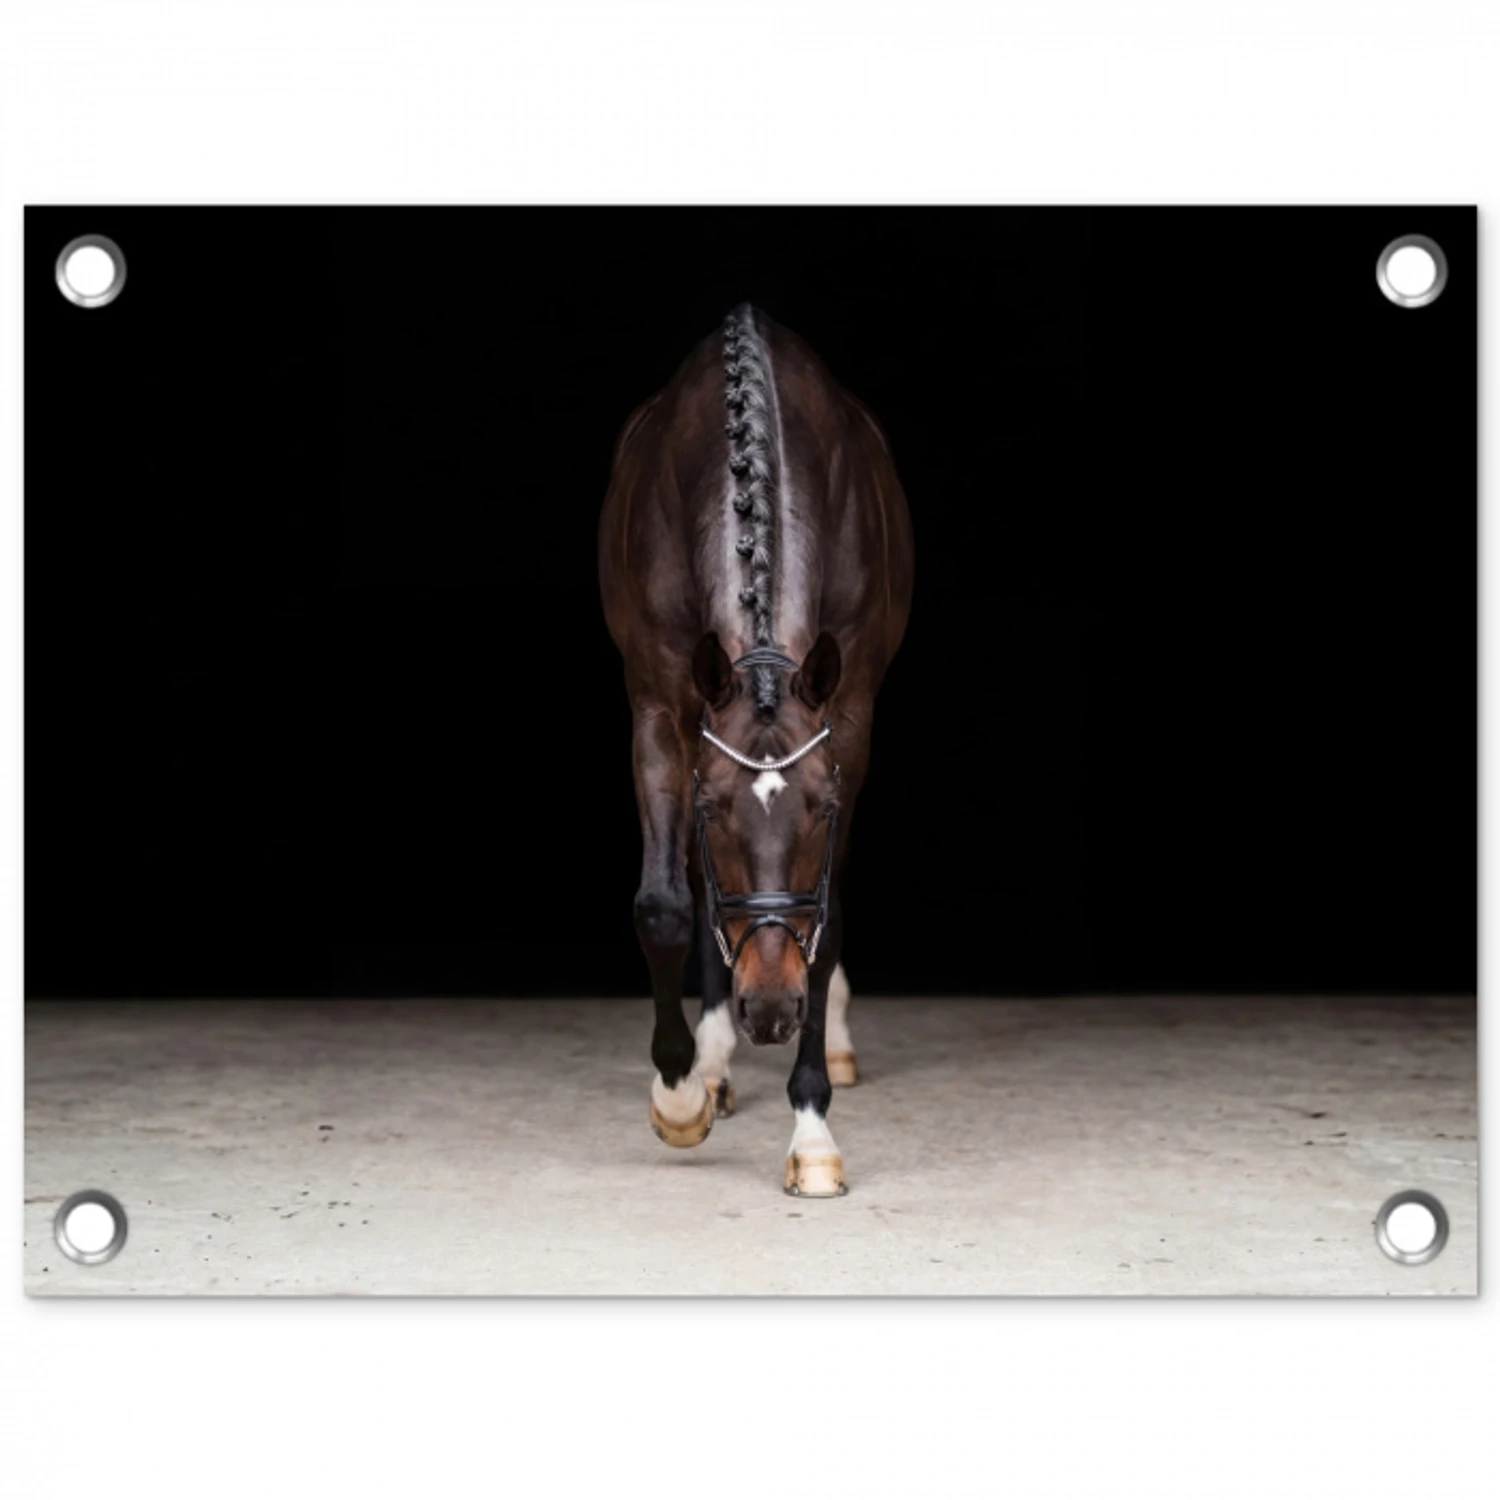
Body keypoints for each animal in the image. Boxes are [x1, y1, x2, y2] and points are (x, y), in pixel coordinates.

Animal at [598, 303, 914, 1196]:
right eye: (711, 809)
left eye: (823, 808)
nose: (770, 1010)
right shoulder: (660, 708)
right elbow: (667, 904)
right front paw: (679, 1095)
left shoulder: (849, 717)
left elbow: (825, 920)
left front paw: (811, 1131)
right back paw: (712, 1063)